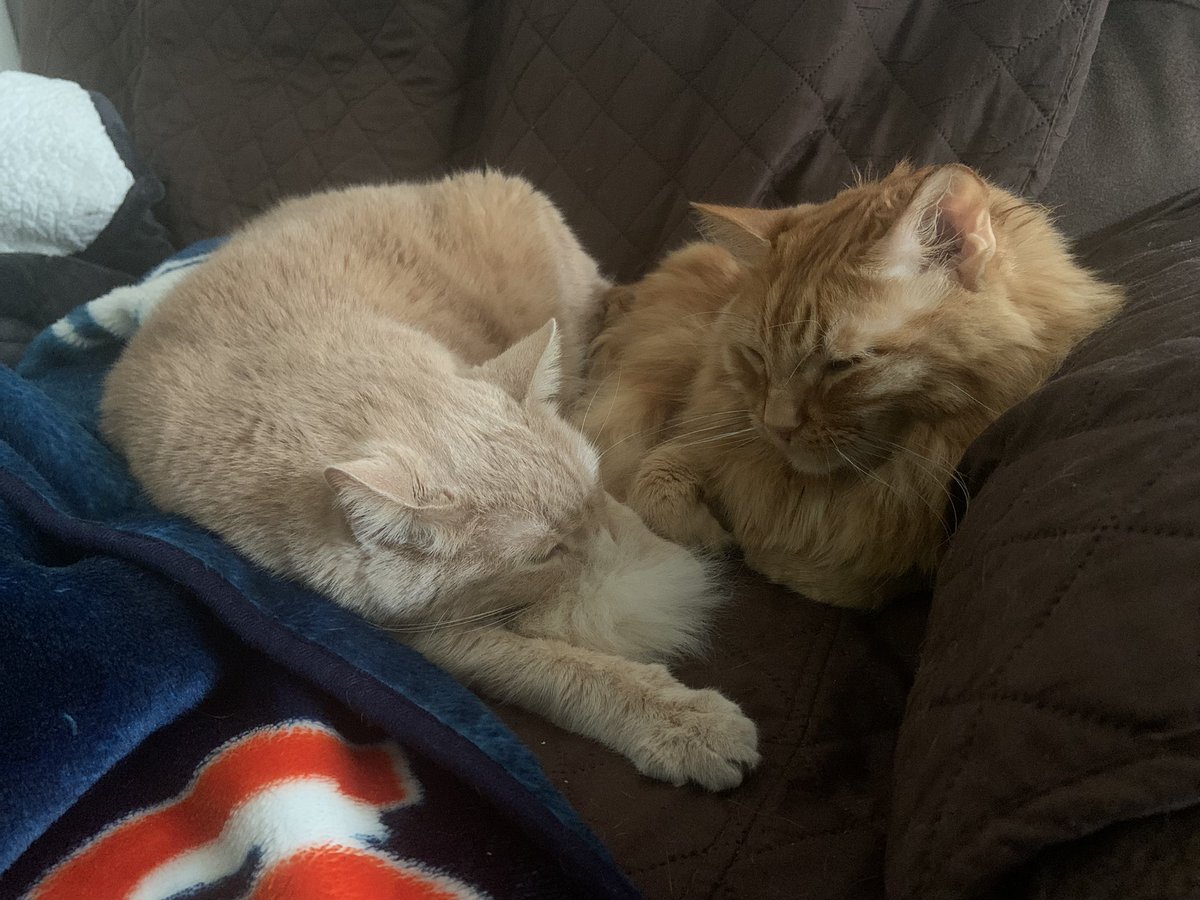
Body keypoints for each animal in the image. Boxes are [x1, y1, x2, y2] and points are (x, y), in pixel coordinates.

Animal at [103, 172, 758, 792]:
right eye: (543, 554)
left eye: (594, 493)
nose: (606, 554)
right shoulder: (418, 637)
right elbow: (559, 669)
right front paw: (680, 720)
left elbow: (640, 536)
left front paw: (666, 564)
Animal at [580, 163, 1123, 614]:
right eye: (756, 357)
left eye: (843, 365)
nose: (777, 426)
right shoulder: (705, 436)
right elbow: (653, 481)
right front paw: (717, 535)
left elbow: (845, 578)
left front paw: (758, 550)